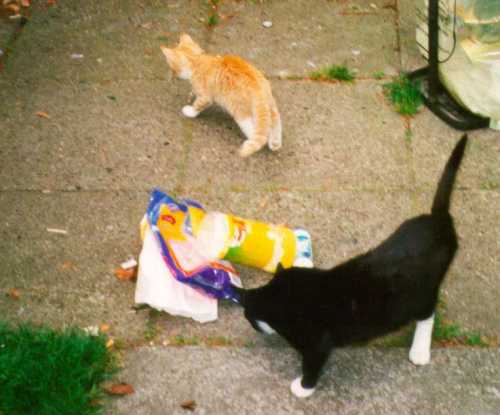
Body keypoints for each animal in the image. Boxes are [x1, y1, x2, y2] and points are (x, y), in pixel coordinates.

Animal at [234, 135, 468, 398]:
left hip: (420, 293)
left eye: (248, 317)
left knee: (428, 312)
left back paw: (420, 350)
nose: (253, 325)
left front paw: (302, 387)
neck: (287, 293)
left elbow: (312, 365)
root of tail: (438, 220)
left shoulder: (317, 343)